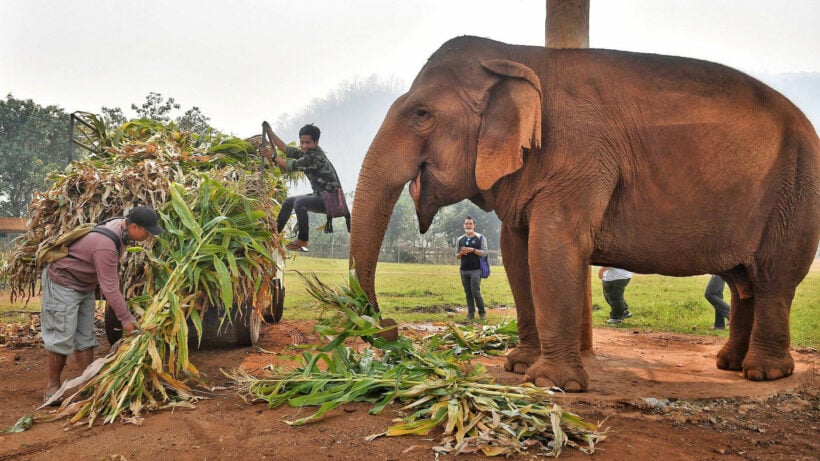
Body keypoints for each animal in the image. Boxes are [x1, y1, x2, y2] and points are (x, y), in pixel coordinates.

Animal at [350, 35, 820, 392]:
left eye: (421, 114)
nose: (387, 327)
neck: (514, 55)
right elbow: (516, 251)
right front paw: (518, 366)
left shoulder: (581, 155)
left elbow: (552, 247)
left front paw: (551, 383)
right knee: (744, 282)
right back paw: (729, 364)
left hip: (795, 193)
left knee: (772, 277)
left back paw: (764, 373)